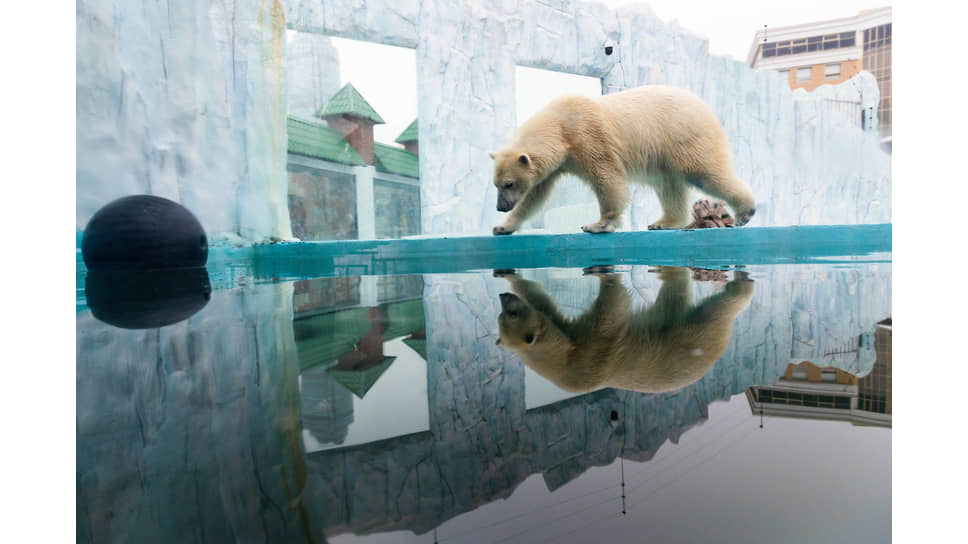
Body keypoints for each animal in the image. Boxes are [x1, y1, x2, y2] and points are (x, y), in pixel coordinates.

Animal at [492, 86, 756, 235]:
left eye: (509, 184)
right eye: (497, 185)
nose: (500, 206)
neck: (559, 126)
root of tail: (706, 108)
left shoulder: (588, 137)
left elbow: (607, 177)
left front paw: (598, 225)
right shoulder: (556, 163)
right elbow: (535, 195)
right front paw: (503, 227)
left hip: (685, 137)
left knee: (703, 172)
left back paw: (745, 211)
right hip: (665, 156)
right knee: (668, 185)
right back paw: (663, 222)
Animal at [496, 268, 752, 394]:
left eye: (508, 314)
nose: (503, 296)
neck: (563, 363)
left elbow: (544, 304)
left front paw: (511, 276)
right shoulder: (592, 354)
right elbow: (611, 312)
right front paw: (606, 275)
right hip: (695, 336)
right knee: (715, 309)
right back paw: (741, 286)